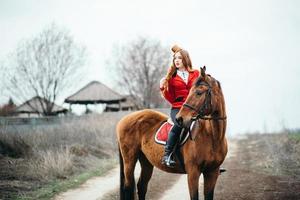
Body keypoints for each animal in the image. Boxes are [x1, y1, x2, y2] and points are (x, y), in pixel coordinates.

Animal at [117, 67, 227, 200]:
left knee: (142, 186)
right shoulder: (193, 172)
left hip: (146, 161)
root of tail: (123, 119)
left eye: (198, 93)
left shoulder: (212, 172)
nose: (180, 119)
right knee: (128, 188)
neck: (212, 136)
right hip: (129, 160)